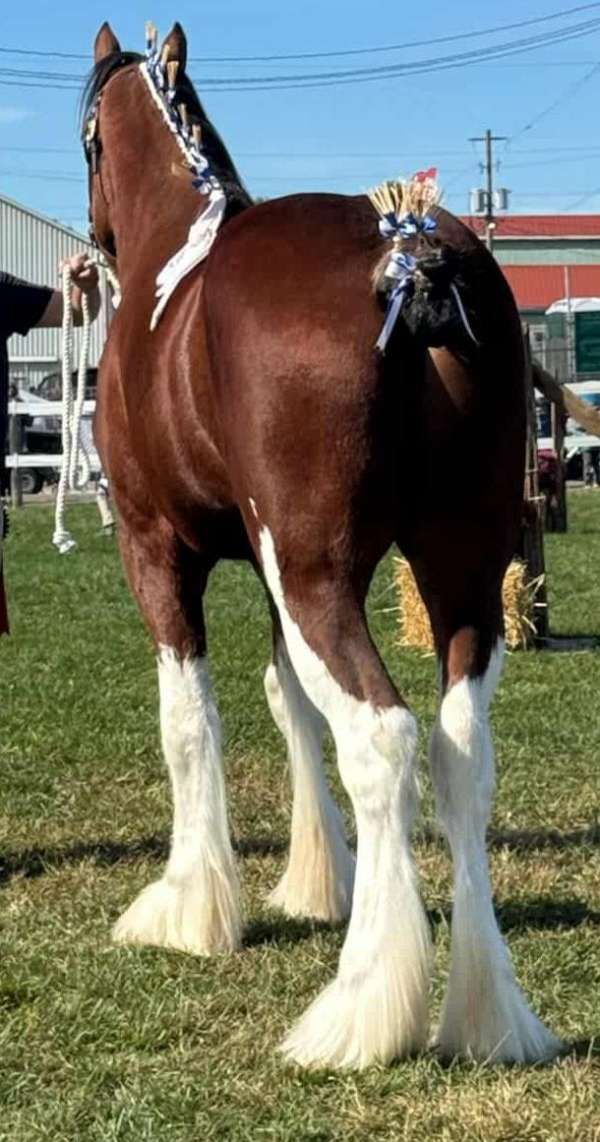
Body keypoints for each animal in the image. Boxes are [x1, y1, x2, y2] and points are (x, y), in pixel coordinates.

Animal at [82, 20, 562, 1070]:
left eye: (90, 140)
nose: (92, 239)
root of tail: (409, 255)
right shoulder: (272, 574)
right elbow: (288, 700)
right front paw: (319, 882)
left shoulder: (158, 552)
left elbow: (191, 718)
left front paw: (189, 908)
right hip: (457, 571)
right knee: (461, 753)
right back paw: (486, 1015)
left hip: (320, 578)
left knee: (383, 738)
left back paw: (360, 1009)